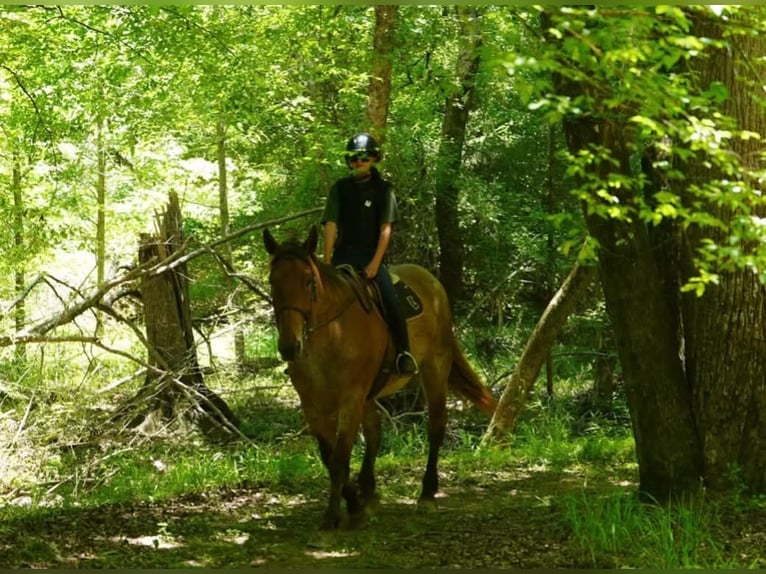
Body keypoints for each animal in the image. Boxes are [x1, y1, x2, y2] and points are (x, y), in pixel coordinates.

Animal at [262, 225, 496, 537]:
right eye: (272, 281)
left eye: (309, 281)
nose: (290, 347)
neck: (331, 334)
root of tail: (430, 280)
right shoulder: (313, 406)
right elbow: (329, 456)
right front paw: (354, 504)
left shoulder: (350, 399)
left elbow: (339, 460)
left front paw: (333, 517)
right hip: (371, 393)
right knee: (375, 433)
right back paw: (368, 492)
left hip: (435, 367)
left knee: (435, 425)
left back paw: (426, 493)